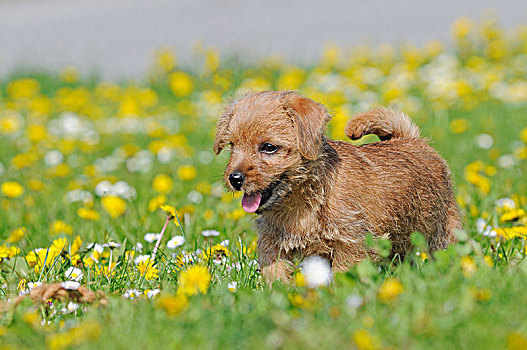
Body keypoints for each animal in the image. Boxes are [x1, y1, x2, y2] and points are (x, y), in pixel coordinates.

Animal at [214, 90, 462, 282]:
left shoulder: (350, 242)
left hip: (441, 230)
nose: (235, 178)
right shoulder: (272, 240)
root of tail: (411, 138)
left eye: (268, 147)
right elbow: (274, 270)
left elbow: (344, 274)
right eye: (232, 145)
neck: (300, 200)